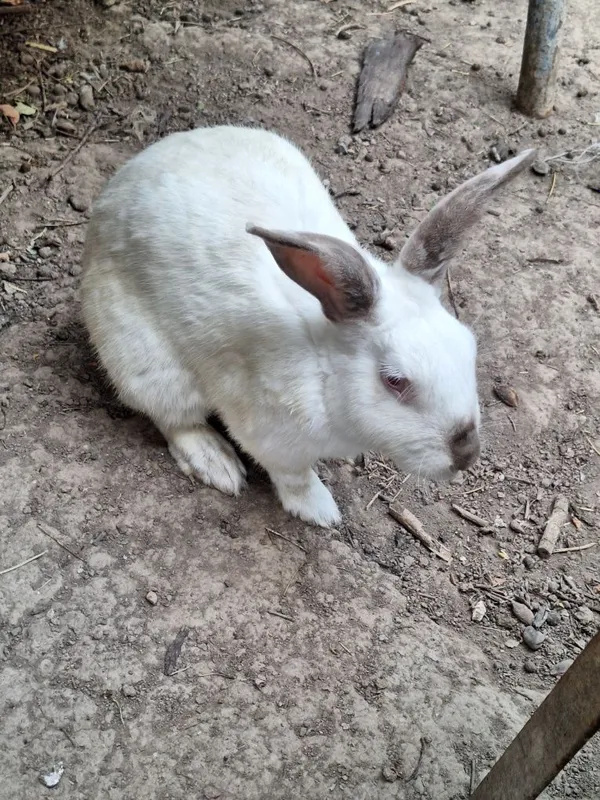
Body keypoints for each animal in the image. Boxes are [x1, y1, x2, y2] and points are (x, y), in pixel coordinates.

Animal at [81, 125, 536, 527]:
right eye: (395, 381)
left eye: (470, 349)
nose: (467, 454)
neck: (322, 366)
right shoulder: (273, 438)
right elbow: (294, 477)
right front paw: (319, 511)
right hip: (146, 362)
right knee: (173, 418)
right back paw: (217, 464)